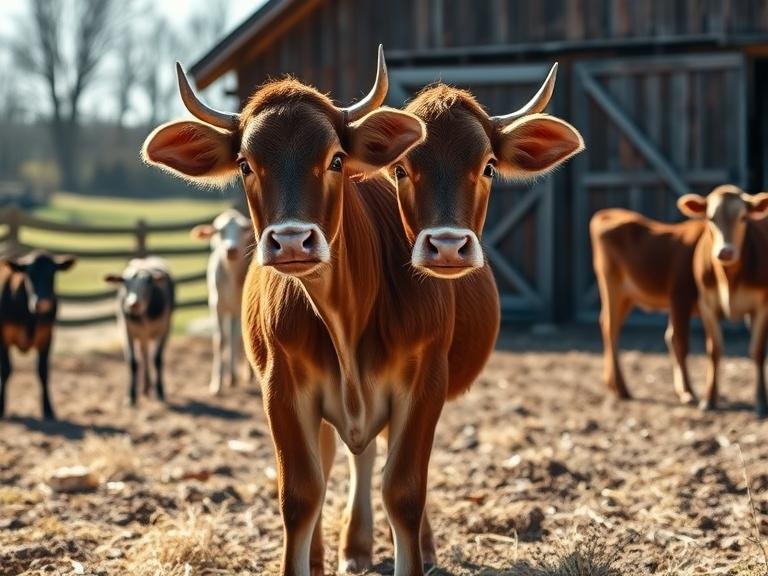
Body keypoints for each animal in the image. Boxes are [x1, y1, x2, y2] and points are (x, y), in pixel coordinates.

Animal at [0, 250, 76, 420]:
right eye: (28, 274)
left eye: (52, 273)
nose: (42, 303)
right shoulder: (3, 338)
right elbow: (6, 370)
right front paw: (1, 407)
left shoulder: (47, 337)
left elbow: (43, 372)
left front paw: (48, 409)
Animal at [104, 258, 175, 406]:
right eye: (125, 282)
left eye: (148, 282)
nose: (133, 304)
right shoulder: (126, 330)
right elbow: (133, 361)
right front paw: (131, 396)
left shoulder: (165, 329)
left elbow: (157, 359)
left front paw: (160, 392)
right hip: (141, 336)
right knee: (144, 355)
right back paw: (145, 388)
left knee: (148, 356)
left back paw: (149, 388)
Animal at [191, 209, 254, 395]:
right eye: (220, 231)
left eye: (242, 230)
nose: (231, 250)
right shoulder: (216, 305)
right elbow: (221, 341)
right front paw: (217, 384)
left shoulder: (241, 307)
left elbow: (237, 339)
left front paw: (232, 378)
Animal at [590, 209, 705, 403]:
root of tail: (606, 214)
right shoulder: (679, 296)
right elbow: (680, 342)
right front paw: (688, 392)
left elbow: (672, 337)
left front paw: (682, 390)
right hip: (611, 282)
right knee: (610, 327)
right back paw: (621, 389)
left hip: (628, 296)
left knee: (607, 323)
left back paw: (613, 384)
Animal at [677, 185, 768, 417]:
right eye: (710, 218)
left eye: (744, 218)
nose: (725, 252)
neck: (728, 278)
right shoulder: (707, 306)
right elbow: (714, 351)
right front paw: (709, 399)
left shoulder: (762, 307)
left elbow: (757, 351)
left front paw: (761, 401)